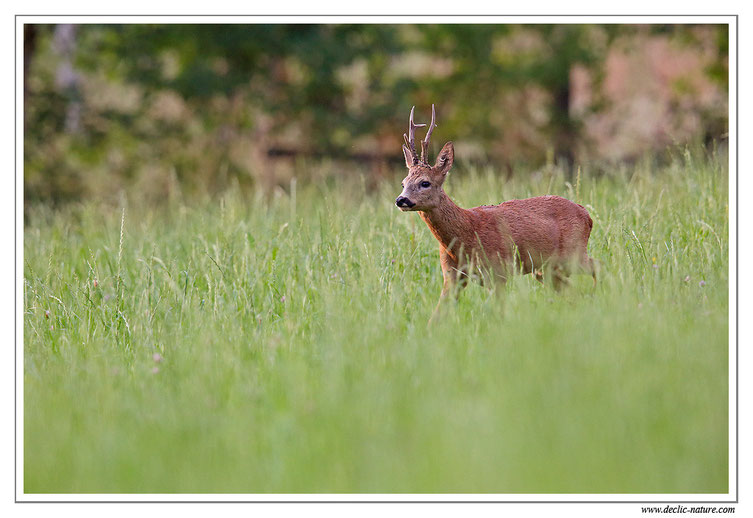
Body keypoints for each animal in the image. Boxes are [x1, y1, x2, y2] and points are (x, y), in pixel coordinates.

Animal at [396, 105, 596, 318]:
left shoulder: (498, 271)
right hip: (547, 269)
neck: (465, 234)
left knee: (598, 266)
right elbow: (436, 316)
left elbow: (498, 312)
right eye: (403, 183)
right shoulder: (451, 276)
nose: (401, 200)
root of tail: (587, 215)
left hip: (573, 253)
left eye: (425, 182)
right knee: (574, 292)